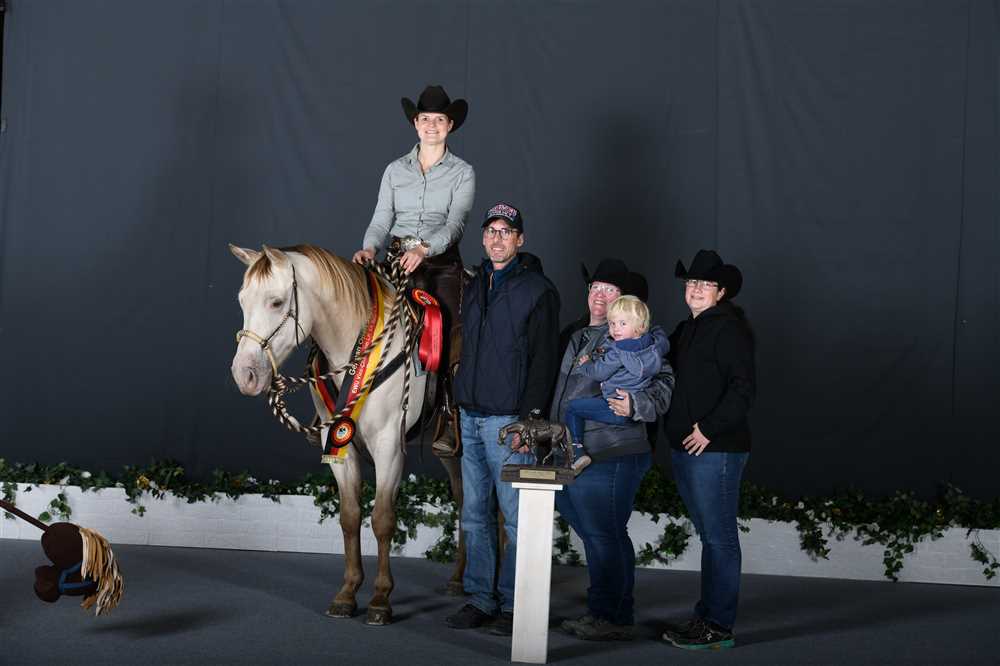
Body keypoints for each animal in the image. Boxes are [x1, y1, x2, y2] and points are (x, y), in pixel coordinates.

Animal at [229, 243, 463, 625]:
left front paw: (381, 599)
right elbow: (350, 517)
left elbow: (382, 519)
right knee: (467, 501)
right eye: (242, 300)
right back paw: (460, 579)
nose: (244, 374)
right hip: (452, 452)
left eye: (276, 302)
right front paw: (348, 593)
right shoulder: (340, 446)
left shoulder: (389, 447)